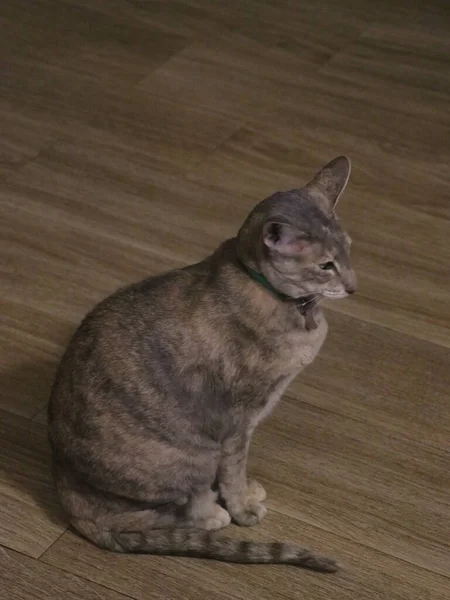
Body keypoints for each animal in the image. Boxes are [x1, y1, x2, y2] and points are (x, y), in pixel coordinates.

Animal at [48, 155, 356, 572]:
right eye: (325, 265)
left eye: (349, 250)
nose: (353, 286)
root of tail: (67, 495)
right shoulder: (238, 423)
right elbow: (234, 471)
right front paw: (243, 506)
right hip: (192, 457)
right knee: (162, 514)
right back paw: (214, 514)